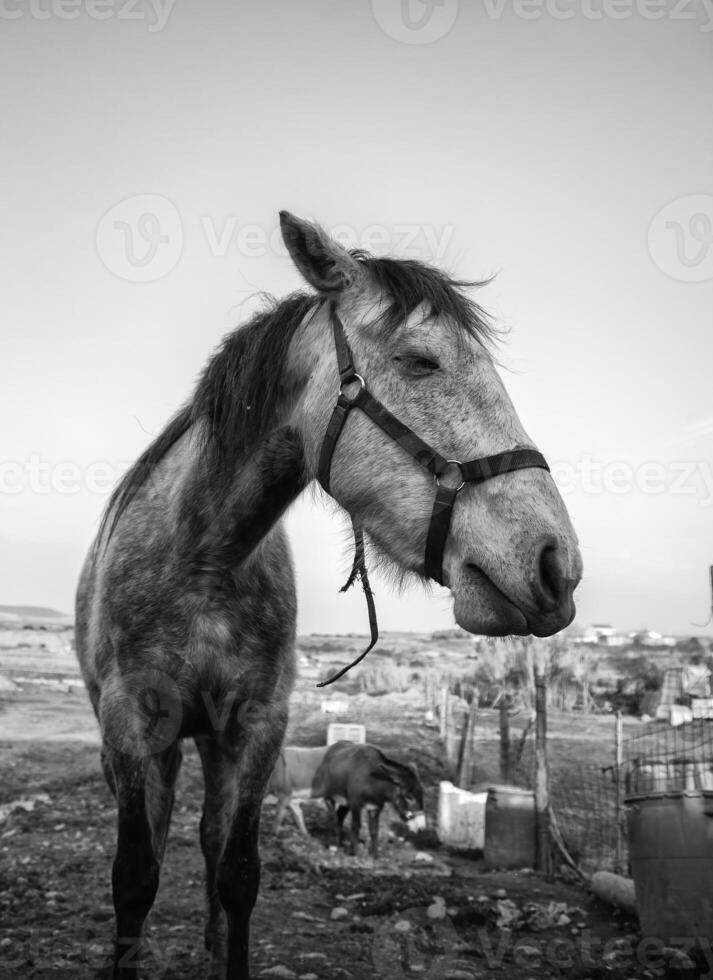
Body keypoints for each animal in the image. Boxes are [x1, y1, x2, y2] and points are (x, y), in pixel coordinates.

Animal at [75, 209, 580, 980]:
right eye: (419, 361)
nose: (556, 564)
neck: (202, 558)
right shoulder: (133, 722)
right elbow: (134, 875)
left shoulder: (257, 724)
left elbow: (236, 870)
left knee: (206, 834)